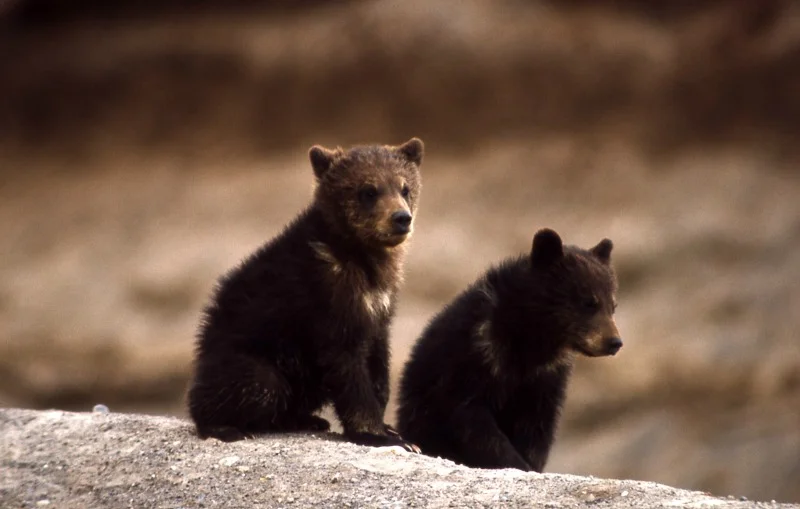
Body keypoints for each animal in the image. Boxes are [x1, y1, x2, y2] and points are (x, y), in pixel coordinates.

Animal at [187, 138, 424, 452]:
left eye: (404, 187)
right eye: (368, 190)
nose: (401, 218)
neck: (363, 260)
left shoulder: (379, 305)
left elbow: (378, 360)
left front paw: (393, 430)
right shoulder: (326, 300)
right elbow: (346, 366)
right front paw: (379, 435)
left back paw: (307, 419)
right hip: (250, 353)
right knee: (259, 383)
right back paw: (224, 427)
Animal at [396, 228, 622, 471]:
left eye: (613, 305)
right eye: (589, 302)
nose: (614, 342)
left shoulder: (544, 382)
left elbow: (536, 430)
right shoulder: (468, 366)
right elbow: (473, 423)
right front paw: (514, 462)